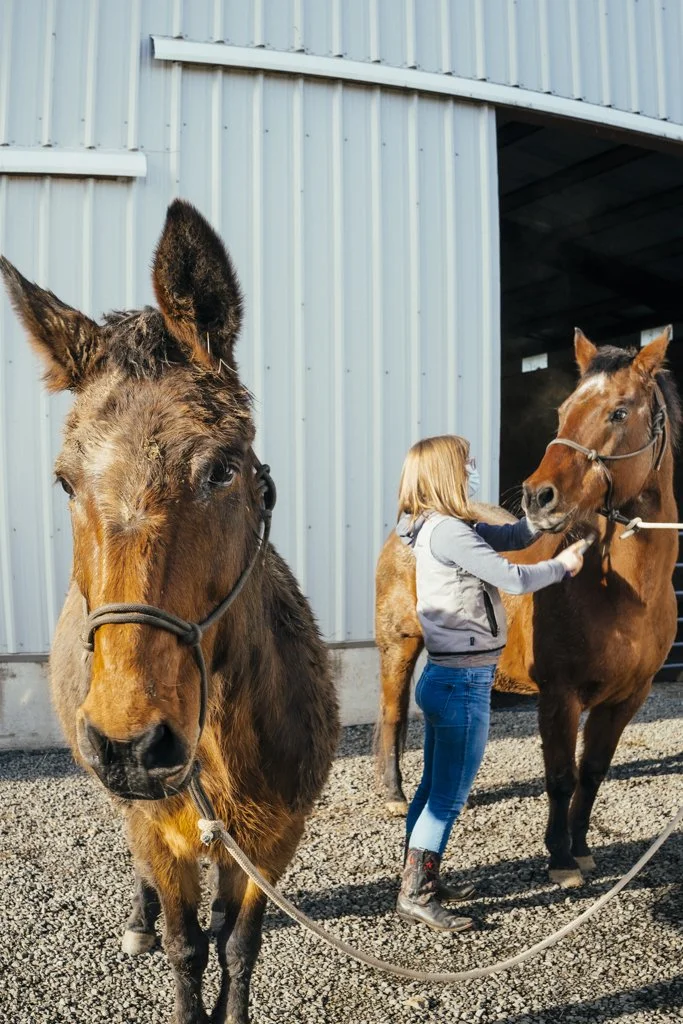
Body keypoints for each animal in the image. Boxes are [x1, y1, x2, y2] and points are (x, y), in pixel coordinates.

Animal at [0, 200, 339, 1024]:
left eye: (223, 468)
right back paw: (139, 919)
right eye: (64, 482)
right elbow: (187, 950)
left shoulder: (276, 840)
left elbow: (240, 945)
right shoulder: (157, 829)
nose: (133, 744)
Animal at [375, 328, 679, 886]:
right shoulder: (559, 695)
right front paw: (560, 859)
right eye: (563, 410)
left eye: (619, 411)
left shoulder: (628, 699)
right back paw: (393, 795)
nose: (539, 497)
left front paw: (581, 847)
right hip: (398, 646)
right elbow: (560, 776)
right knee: (392, 716)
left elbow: (593, 773)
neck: (626, 595)